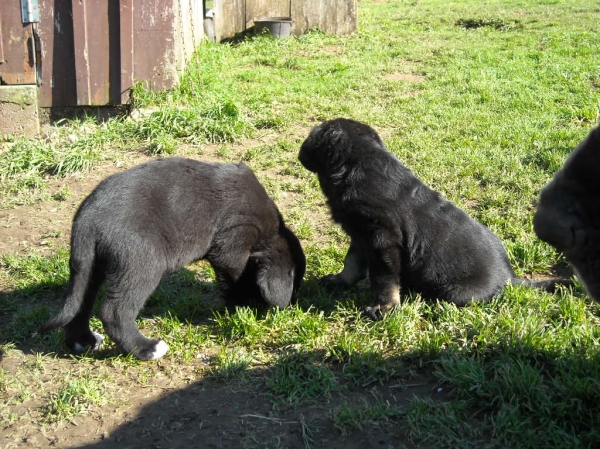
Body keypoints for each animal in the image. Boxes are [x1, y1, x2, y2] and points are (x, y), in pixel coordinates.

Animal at [38, 156, 304, 358]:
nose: (292, 307)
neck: (271, 231)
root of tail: (87, 219)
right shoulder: (233, 244)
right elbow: (236, 277)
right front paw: (243, 303)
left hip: (89, 267)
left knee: (80, 304)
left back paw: (83, 342)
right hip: (143, 264)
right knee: (114, 311)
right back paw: (146, 349)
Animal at [300, 117, 572, 316]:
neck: (357, 164)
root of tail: (510, 279)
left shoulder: (382, 241)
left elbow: (383, 279)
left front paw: (384, 308)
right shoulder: (360, 234)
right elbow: (352, 262)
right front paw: (339, 281)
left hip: (456, 293)